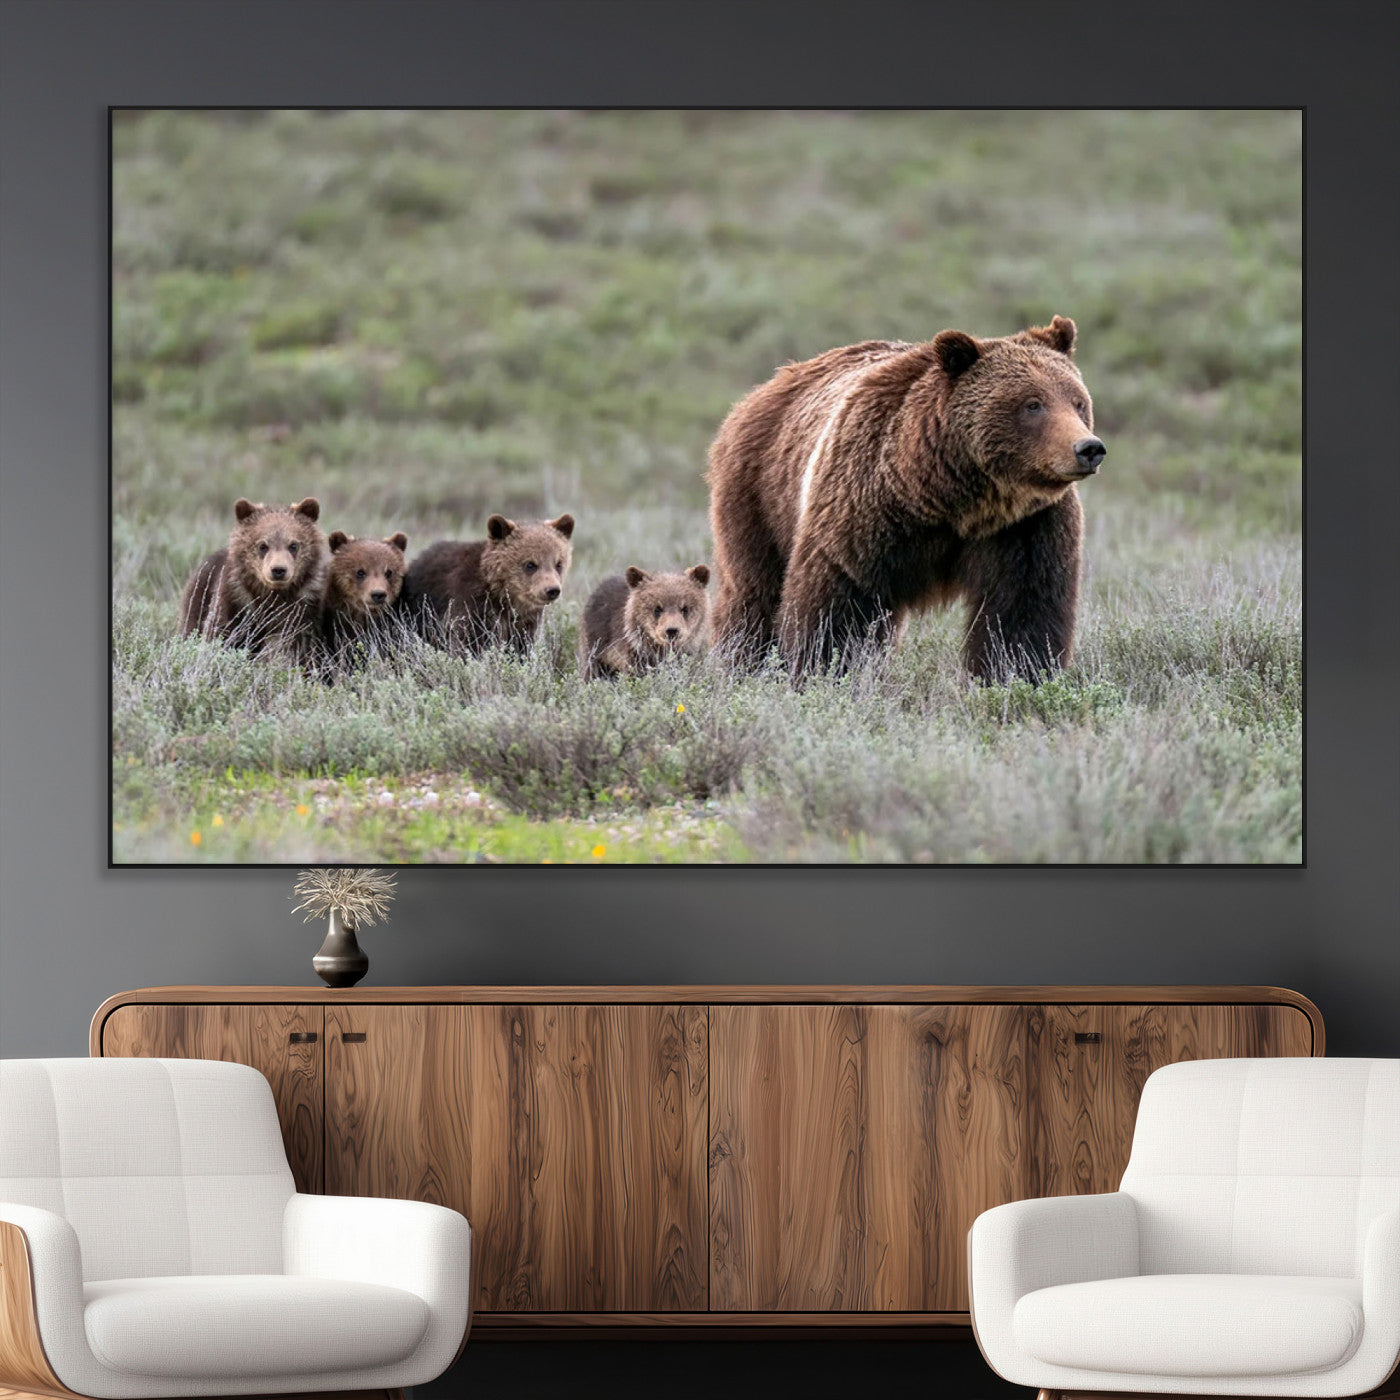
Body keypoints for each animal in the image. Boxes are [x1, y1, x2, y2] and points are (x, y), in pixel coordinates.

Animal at [178, 496, 329, 662]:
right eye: (262, 545)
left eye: (293, 545)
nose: (278, 570)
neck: (273, 594)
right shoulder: (236, 600)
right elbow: (220, 633)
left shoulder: (303, 607)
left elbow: (298, 643)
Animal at [402, 513, 575, 654]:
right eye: (530, 564)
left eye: (559, 564)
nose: (552, 590)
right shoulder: (470, 606)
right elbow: (468, 642)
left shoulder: (525, 622)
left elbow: (521, 646)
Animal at [705, 315, 1105, 682]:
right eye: (1032, 404)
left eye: (1077, 402)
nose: (1088, 448)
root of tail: (766, 387)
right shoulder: (864, 509)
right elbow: (837, 604)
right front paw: (823, 672)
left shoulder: (1025, 525)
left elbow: (1023, 611)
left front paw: (1015, 676)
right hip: (760, 493)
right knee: (753, 592)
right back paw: (743, 662)